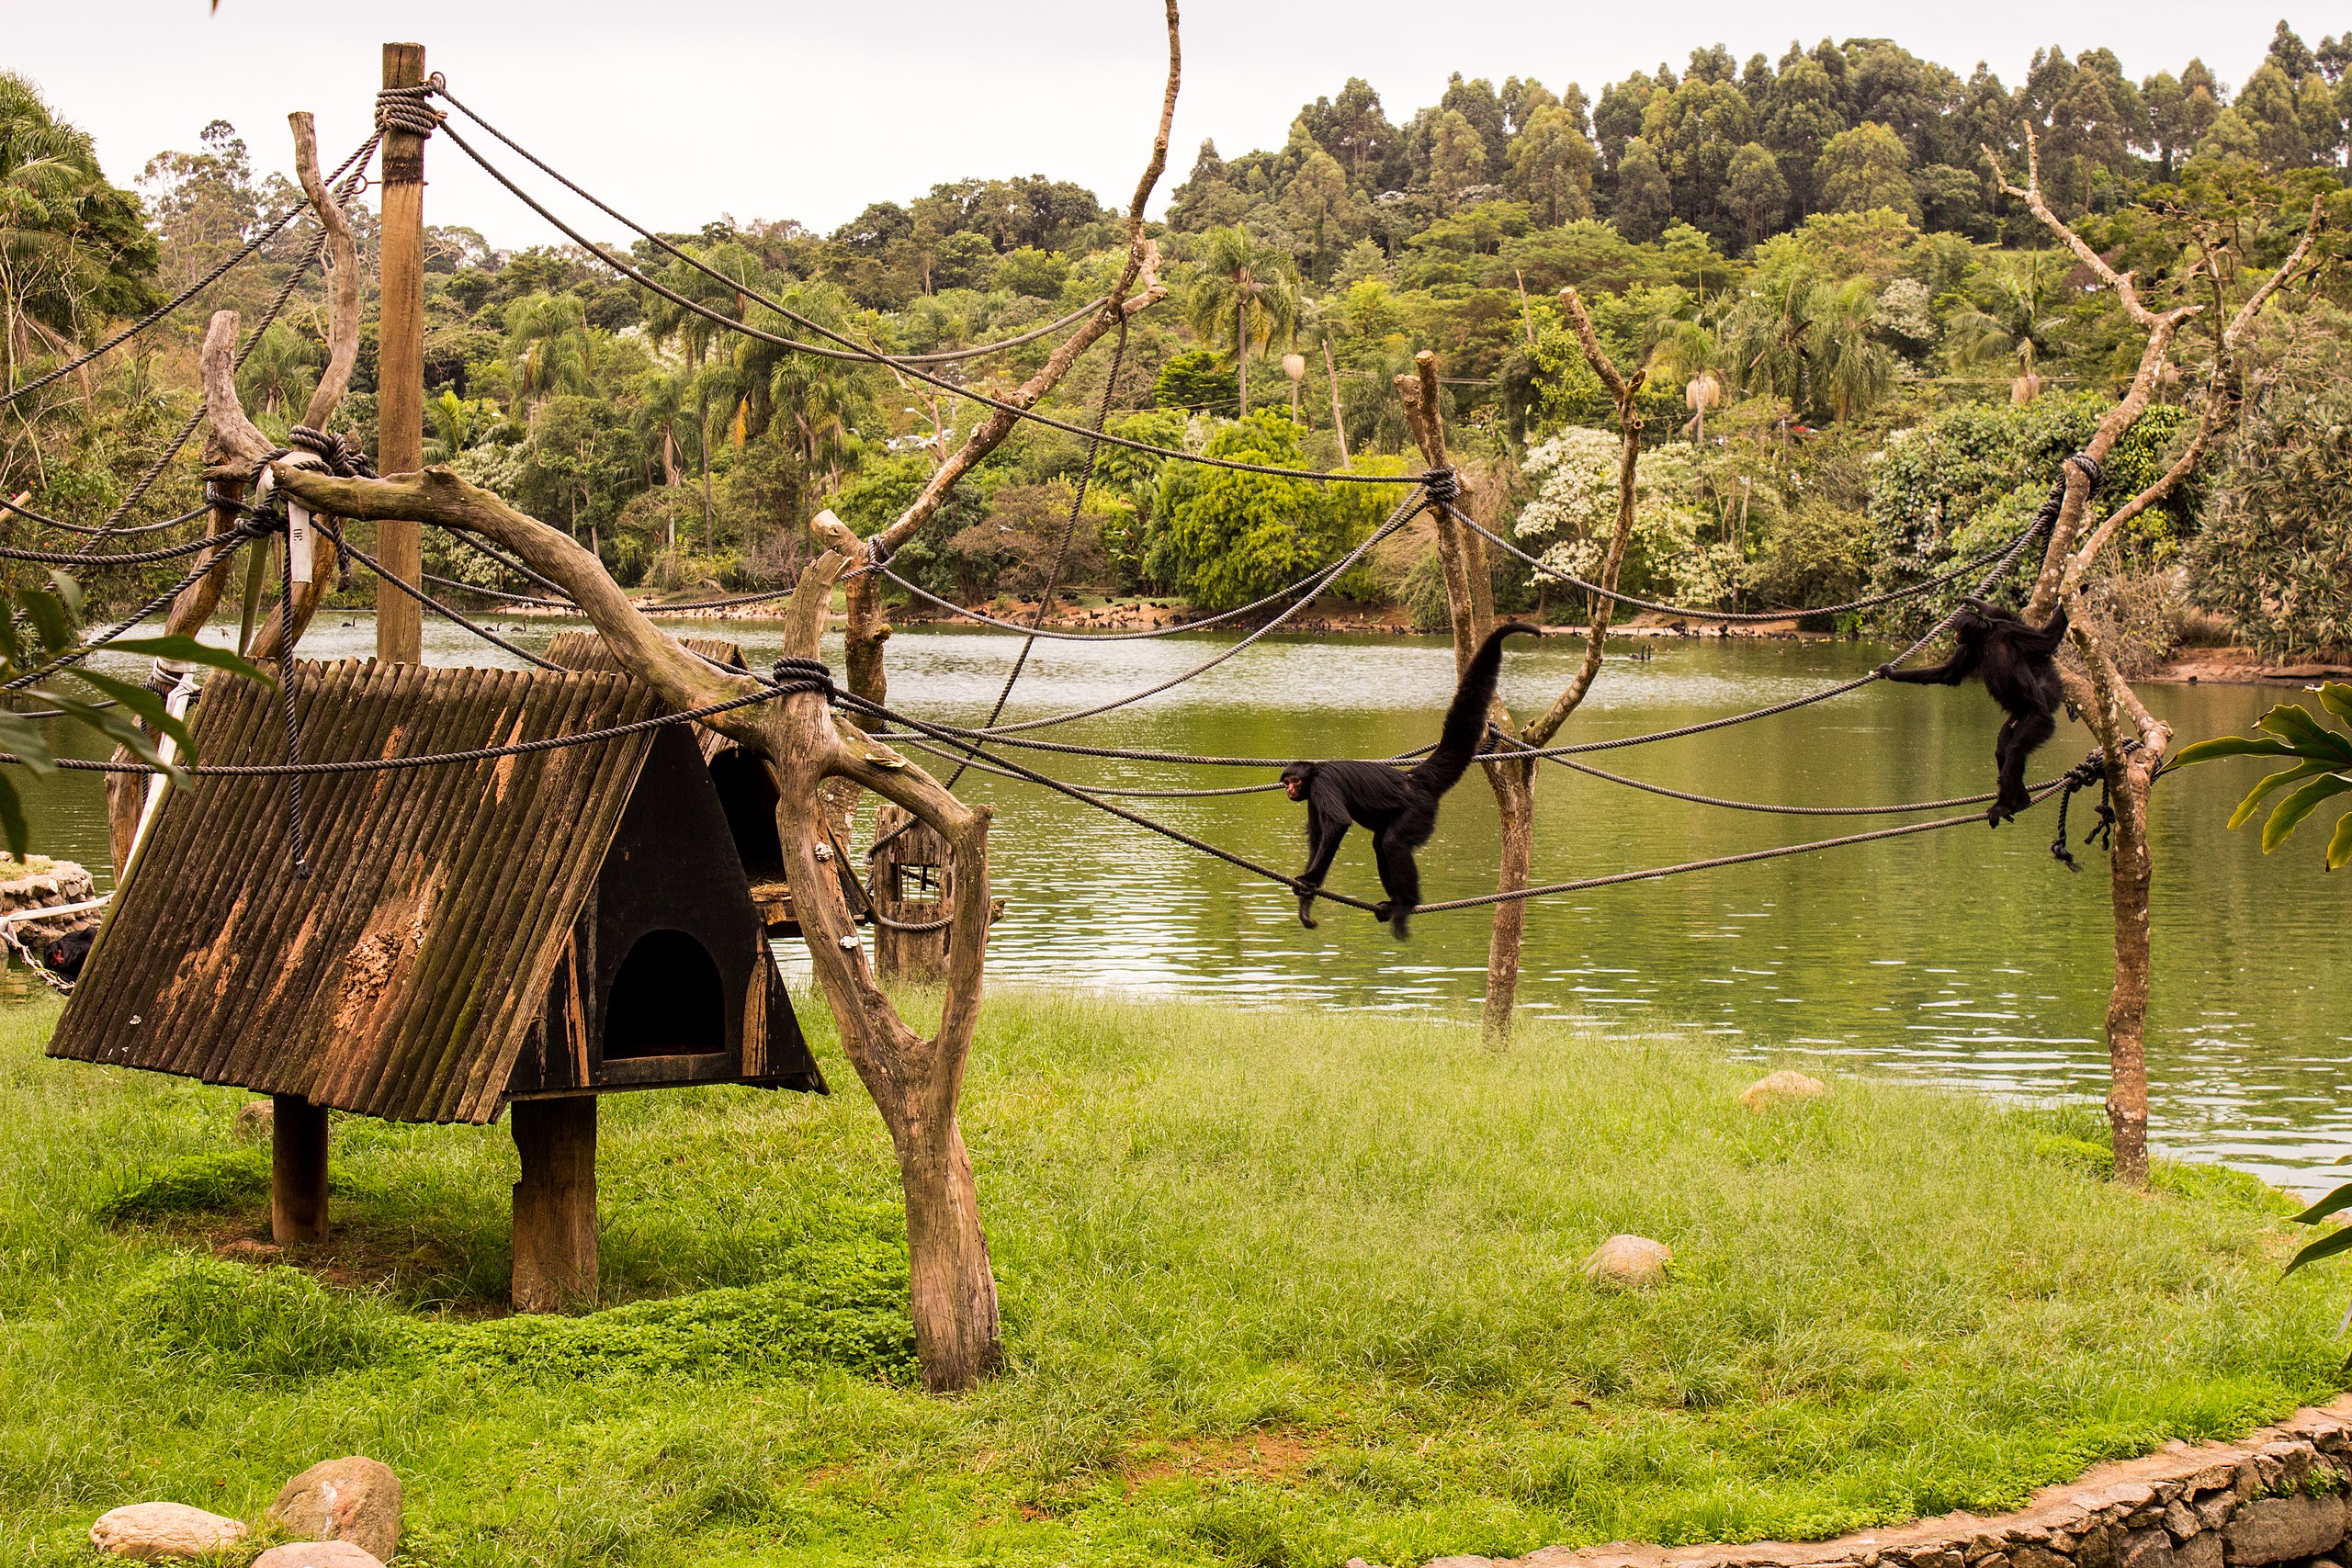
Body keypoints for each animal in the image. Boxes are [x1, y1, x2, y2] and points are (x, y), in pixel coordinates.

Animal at [1288, 620, 1543, 940]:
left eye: (1294, 781)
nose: (1290, 789)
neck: (1314, 775)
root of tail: (1414, 778)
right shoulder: (1313, 798)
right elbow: (1317, 837)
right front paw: (1306, 902)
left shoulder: (1322, 788)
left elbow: (1336, 826)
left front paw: (1309, 880)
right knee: (1381, 843)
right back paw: (1394, 902)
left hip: (1420, 811)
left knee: (1393, 842)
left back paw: (1407, 903)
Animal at [1882, 594, 2069, 827]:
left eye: (1958, 630)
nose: (1955, 636)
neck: (1986, 638)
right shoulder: (1971, 647)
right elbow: (1948, 674)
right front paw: (1890, 673)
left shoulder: (2007, 630)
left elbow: (2047, 640)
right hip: (2016, 719)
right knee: (2002, 751)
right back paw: (2018, 799)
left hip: (2039, 720)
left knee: (2015, 749)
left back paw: (2004, 804)